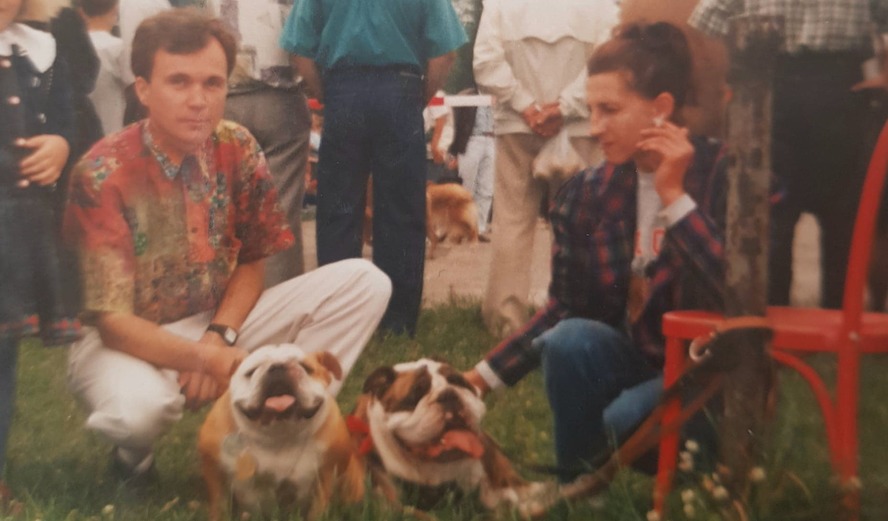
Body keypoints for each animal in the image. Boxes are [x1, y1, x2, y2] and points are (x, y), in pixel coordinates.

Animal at [198, 345, 364, 521]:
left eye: (307, 368)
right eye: (251, 371)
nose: (278, 367)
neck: (277, 434)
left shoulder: (325, 477)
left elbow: (316, 510)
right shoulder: (215, 475)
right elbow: (218, 506)